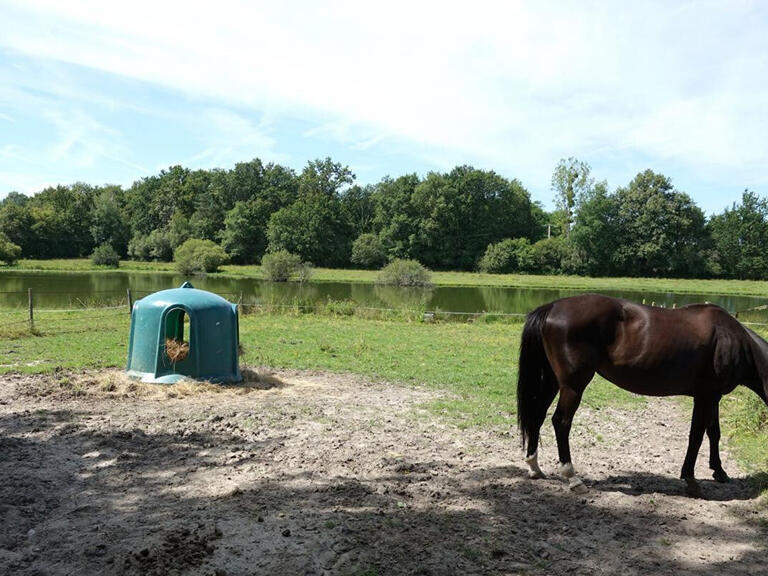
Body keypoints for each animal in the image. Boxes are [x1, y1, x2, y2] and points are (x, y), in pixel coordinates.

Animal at [516, 292, 768, 496]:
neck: (734, 339)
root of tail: (552, 307)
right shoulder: (706, 396)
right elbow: (696, 436)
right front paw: (691, 480)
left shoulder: (713, 397)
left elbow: (713, 433)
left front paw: (720, 472)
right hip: (573, 385)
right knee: (561, 422)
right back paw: (573, 478)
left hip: (552, 380)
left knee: (537, 415)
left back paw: (534, 467)